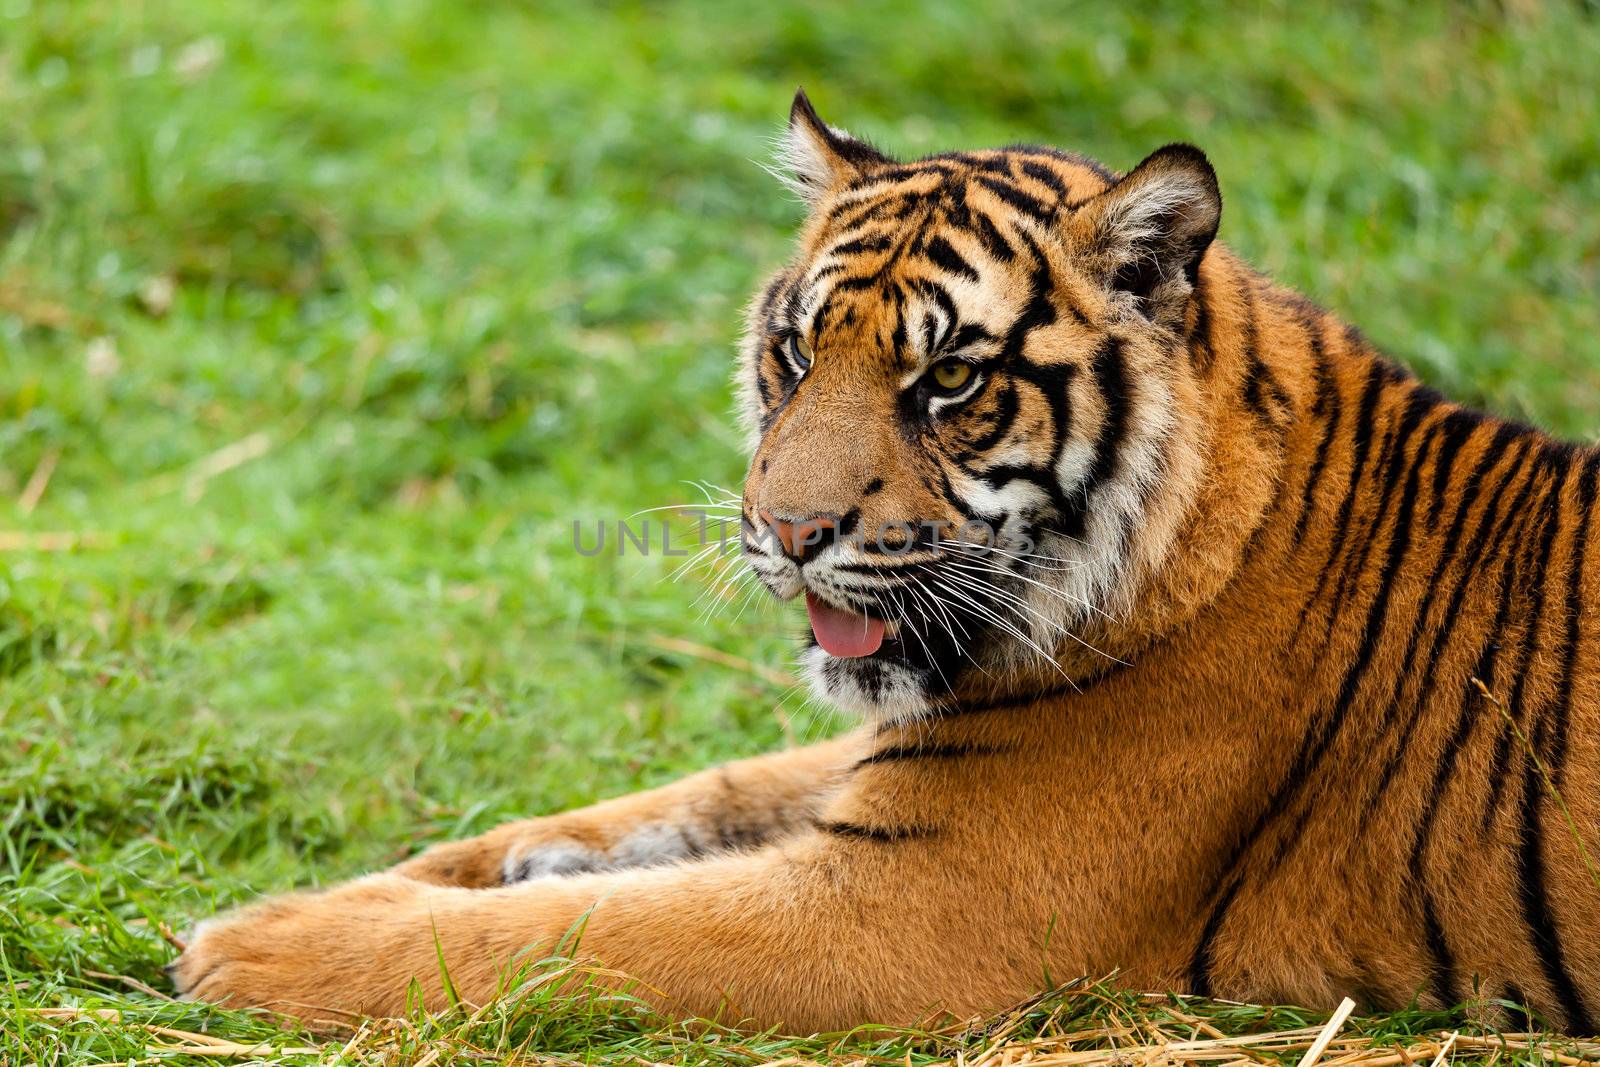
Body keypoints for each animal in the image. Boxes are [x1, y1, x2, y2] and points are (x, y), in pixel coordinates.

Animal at [168, 91, 1600, 1036]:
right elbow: (657, 806)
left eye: (949, 380)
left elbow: (602, 929)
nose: (789, 530)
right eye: (799, 352)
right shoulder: (890, 773)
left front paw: (248, 942)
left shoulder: (911, 902)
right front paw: (422, 868)